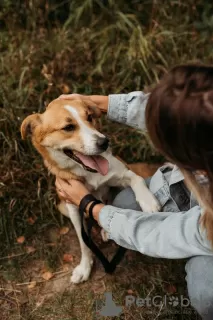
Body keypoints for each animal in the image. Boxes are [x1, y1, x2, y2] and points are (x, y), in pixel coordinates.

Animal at [20, 97, 161, 282]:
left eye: (89, 117)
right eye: (68, 127)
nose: (104, 142)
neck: (89, 172)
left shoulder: (123, 173)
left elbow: (137, 179)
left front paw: (148, 202)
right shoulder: (73, 207)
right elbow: (83, 241)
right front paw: (85, 267)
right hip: (62, 207)